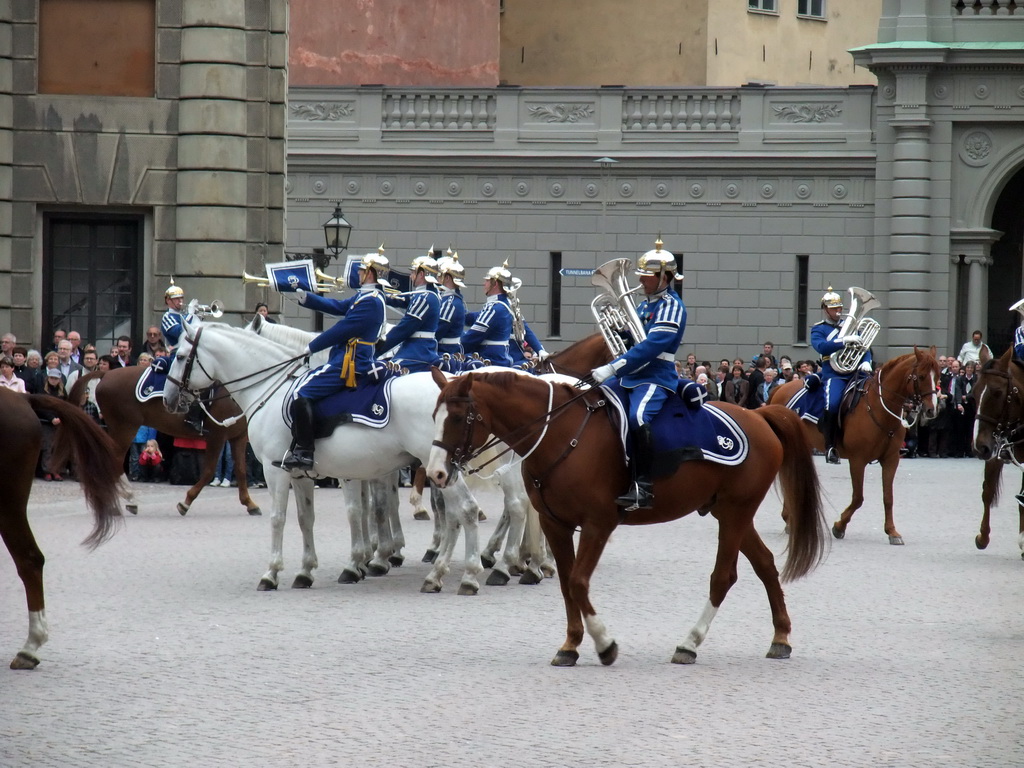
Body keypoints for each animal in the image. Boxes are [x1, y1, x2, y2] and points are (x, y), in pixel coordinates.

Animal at [69, 366, 260, 518]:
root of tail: (107, 373)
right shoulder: (217, 436)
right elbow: (208, 472)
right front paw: (186, 502)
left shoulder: (238, 437)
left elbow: (241, 470)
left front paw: (250, 503)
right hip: (125, 427)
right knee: (113, 461)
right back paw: (127, 499)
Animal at [164, 319, 487, 593]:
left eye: (179, 356)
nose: (169, 400)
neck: (271, 390)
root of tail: (451, 384)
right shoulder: (301, 472)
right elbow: (307, 518)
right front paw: (306, 571)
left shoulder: (275, 470)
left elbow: (279, 518)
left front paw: (272, 573)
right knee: (456, 513)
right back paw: (444, 572)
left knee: (465, 509)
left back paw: (467, 575)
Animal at [425, 370, 831, 667]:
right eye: (432, 416)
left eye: (458, 417)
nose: (436, 474)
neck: (560, 435)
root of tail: (759, 415)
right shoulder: (556, 525)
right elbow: (567, 585)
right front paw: (571, 645)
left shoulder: (598, 524)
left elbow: (579, 582)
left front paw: (604, 644)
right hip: (729, 512)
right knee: (765, 564)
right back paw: (780, 637)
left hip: (735, 511)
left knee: (724, 577)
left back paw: (690, 643)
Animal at [770, 348, 942, 548]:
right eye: (921, 376)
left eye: (937, 376)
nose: (932, 410)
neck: (879, 408)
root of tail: (781, 388)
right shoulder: (858, 460)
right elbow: (858, 498)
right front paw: (839, 526)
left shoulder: (891, 460)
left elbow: (888, 497)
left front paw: (892, 531)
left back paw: (789, 519)